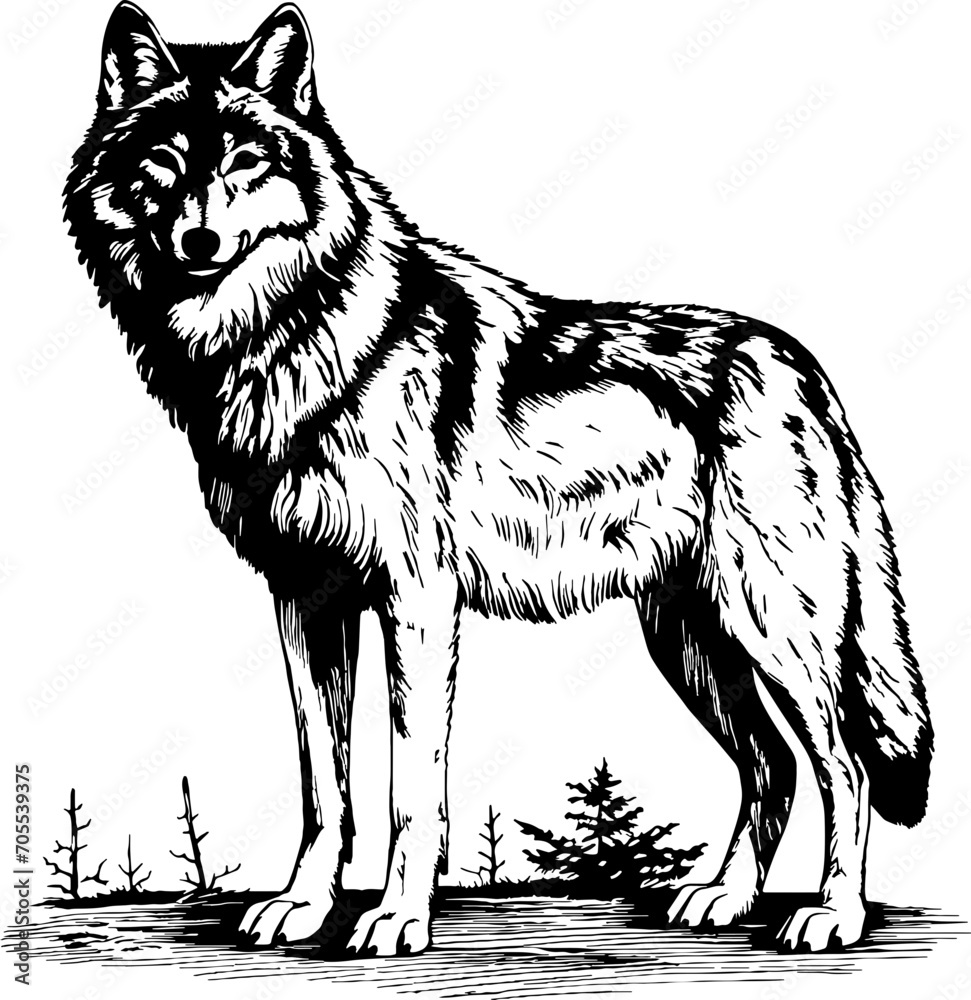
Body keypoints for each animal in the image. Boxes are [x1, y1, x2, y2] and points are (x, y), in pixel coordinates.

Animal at [64, 2, 932, 956]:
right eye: (165, 162)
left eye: (246, 162)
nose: (199, 240)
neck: (285, 341)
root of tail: (799, 363)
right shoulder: (304, 601)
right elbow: (325, 791)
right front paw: (303, 906)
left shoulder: (416, 601)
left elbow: (410, 789)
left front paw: (398, 918)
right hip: (692, 642)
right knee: (771, 766)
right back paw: (724, 897)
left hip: (769, 629)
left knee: (842, 767)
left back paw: (833, 914)